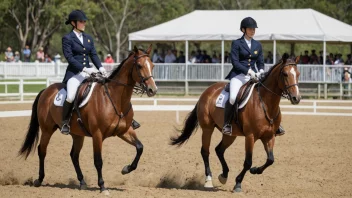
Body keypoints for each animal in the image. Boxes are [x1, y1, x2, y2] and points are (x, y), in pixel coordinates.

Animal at [18, 44, 157, 193]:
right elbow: (98, 160)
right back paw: (39, 179)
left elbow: (140, 147)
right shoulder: (97, 134)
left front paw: (126, 169)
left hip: (77, 134)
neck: (115, 99)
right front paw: (102, 186)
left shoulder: (124, 131)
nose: (152, 90)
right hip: (47, 130)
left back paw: (82, 182)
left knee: (74, 155)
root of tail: (46, 90)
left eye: (152, 65)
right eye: (139, 66)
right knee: (42, 151)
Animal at [170, 53, 300, 192]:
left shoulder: (269, 136)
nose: (296, 98)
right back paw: (209, 180)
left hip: (230, 134)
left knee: (219, 150)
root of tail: (207, 91)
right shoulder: (250, 136)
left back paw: (224, 175)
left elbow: (270, 159)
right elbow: (248, 162)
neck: (265, 103)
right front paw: (238, 183)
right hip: (207, 128)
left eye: (298, 74)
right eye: (285, 74)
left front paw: (255, 170)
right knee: (205, 151)